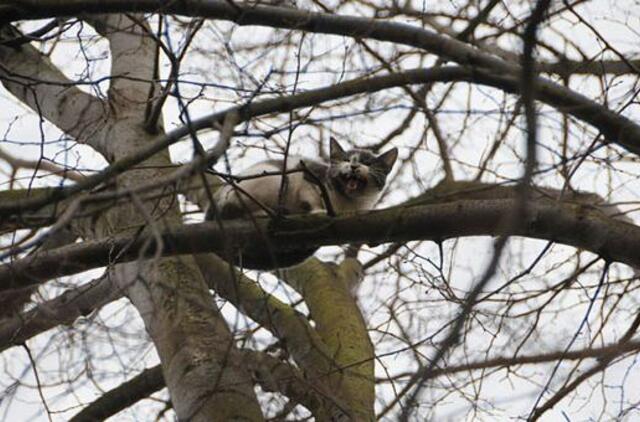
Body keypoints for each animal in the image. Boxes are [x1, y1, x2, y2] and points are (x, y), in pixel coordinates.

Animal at [208, 138, 398, 270]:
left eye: (367, 163)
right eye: (345, 159)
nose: (353, 165)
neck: (347, 201)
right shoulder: (308, 175)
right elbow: (310, 195)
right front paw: (318, 211)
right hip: (273, 180)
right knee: (232, 209)